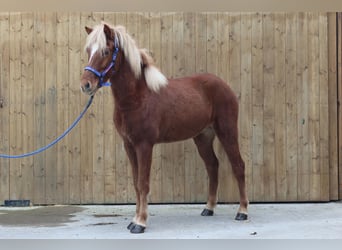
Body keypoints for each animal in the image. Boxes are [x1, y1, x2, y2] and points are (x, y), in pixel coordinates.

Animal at [81, 22, 250, 233]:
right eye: (88, 50)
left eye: (105, 51)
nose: (86, 84)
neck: (138, 97)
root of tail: (224, 86)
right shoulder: (129, 145)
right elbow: (136, 183)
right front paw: (134, 219)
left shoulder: (144, 145)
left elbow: (143, 183)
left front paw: (140, 222)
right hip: (203, 137)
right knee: (212, 166)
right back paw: (208, 208)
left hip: (227, 131)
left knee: (238, 166)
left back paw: (242, 211)